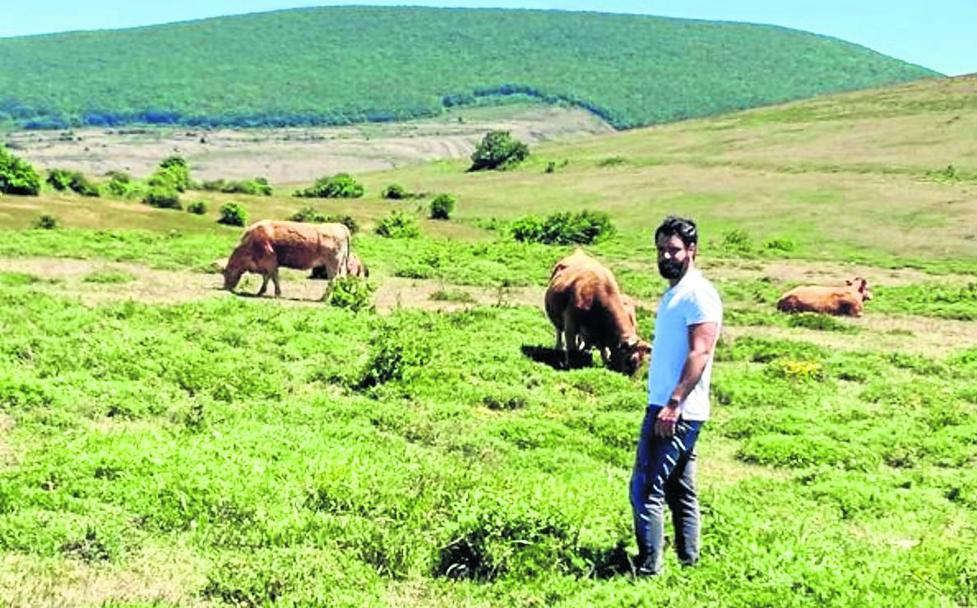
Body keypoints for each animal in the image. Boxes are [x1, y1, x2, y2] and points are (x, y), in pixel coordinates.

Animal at [222, 221, 350, 296]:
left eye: (226, 273)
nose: (226, 288)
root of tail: (339, 225)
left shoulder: (270, 261)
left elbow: (273, 277)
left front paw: (277, 293)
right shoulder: (266, 265)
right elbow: (267, 278)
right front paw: (261, 291)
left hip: (332, 264)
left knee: (333, 280)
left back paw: (324, 297)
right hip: (341, 264)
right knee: (341, 279)